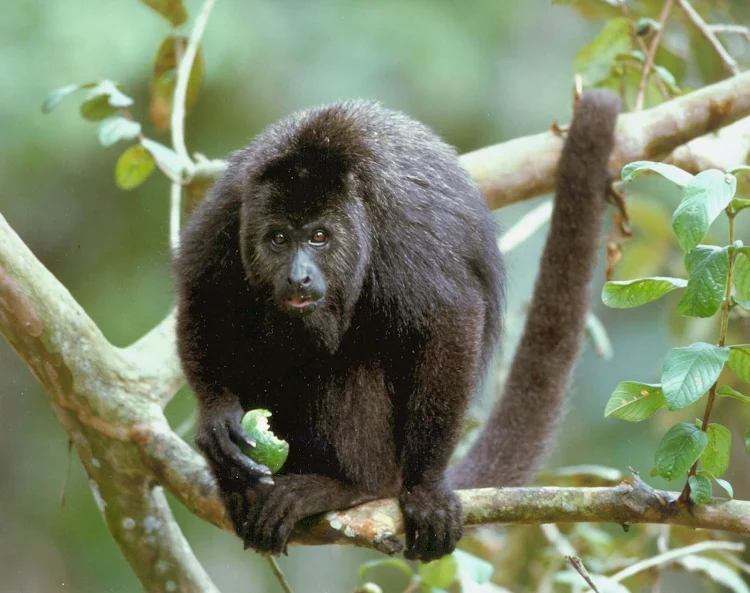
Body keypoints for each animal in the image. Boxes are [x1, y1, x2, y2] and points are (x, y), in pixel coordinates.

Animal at [174, 90, 621, 562]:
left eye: (319, 237)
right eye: (278, 239)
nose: (298, 277)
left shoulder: (404, 232)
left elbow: (452, 321)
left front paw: (425, 491)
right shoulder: (228, 210)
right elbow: (201, 294)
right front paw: (217, 418)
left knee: (349, 368)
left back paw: (350, 486)